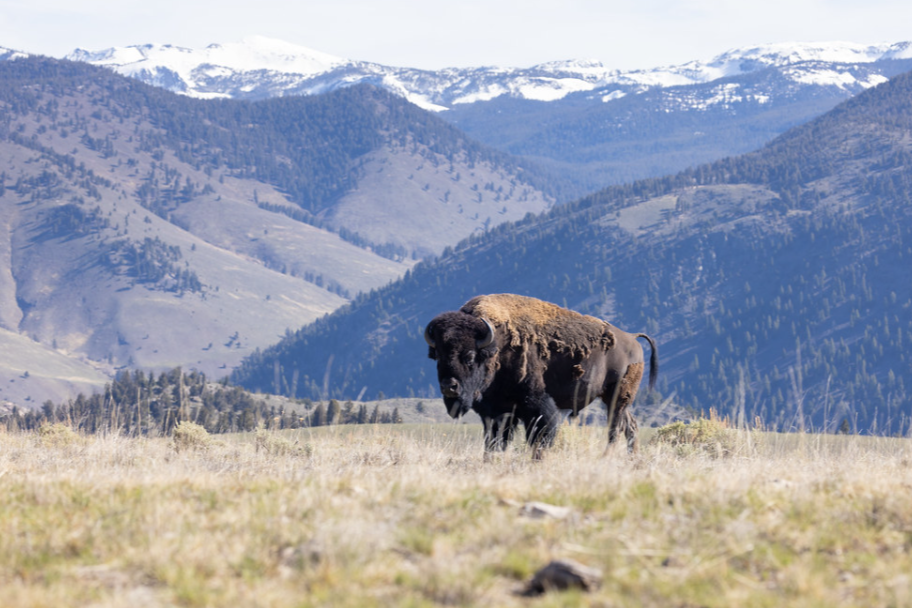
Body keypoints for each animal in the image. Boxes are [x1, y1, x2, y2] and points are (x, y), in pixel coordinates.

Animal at [424, 294, 660, 456]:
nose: (449, 386)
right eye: (438, 356)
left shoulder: (537, 406)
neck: (495, 346)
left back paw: (607, 457)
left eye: (470, 356)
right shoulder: (497, 412)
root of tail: (632, 338)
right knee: (630, 426)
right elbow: (495, 441)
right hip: (615, 399)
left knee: (615, 429)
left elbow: (539, 438)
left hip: (616, 397)